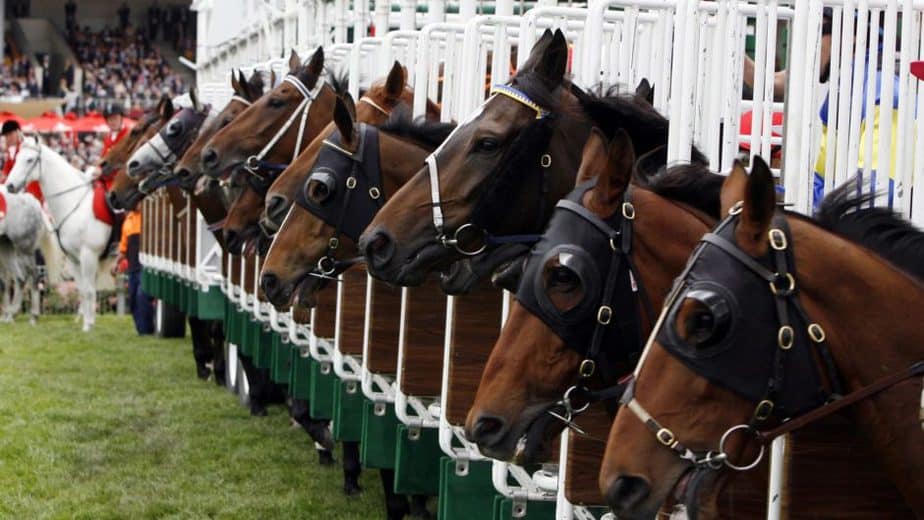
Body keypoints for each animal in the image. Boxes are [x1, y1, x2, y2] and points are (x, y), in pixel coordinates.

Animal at [5, 138, 111, 332]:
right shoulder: (74, 258)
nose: (10, 186)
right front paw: (86, 321)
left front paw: (88, 326)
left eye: (30, 160)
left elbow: (89, 290)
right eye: (16, 158)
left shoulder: (89, 255)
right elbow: (83, 289)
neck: (76, 204)